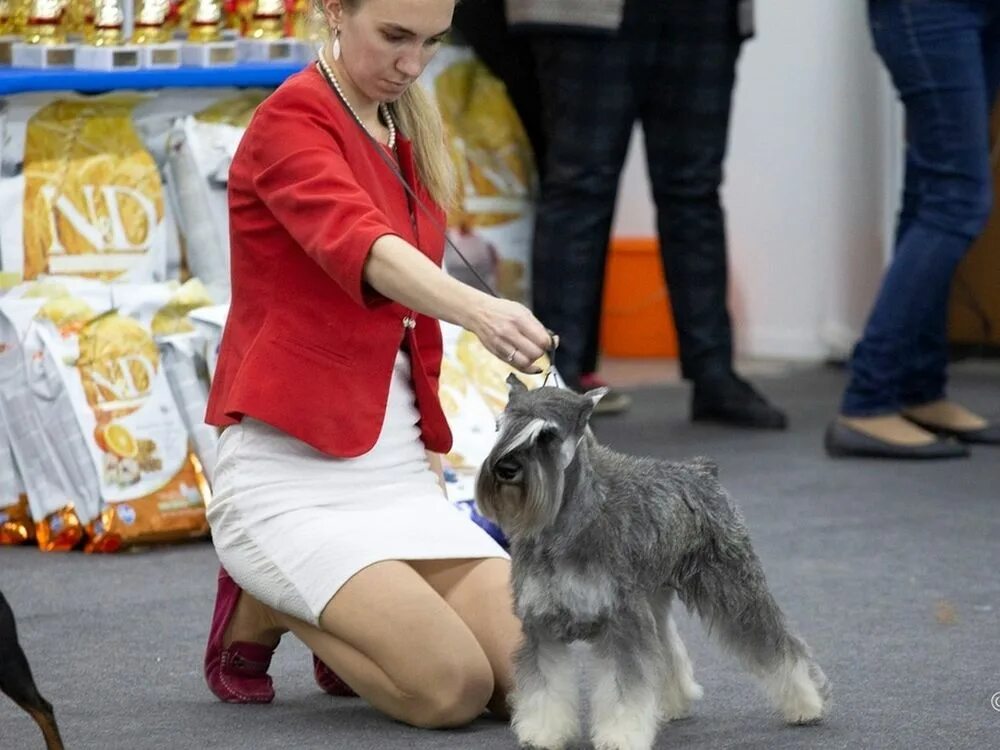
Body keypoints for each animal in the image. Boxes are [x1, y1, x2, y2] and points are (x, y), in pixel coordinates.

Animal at [476, 376, 828, 750]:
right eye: (500, 427)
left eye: (546, 434)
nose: (505, 469)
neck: (562, 524)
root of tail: (703, 471)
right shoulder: (541, 626)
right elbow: (545, 686)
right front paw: (543, 732)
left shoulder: (621, 622)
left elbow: (624, 688)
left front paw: (621, 735)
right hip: (653, 598)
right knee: (665, 649)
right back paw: (675, 703)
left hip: (734, 589)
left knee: (778, 643)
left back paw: (807, 704)